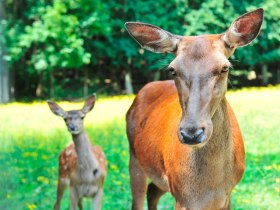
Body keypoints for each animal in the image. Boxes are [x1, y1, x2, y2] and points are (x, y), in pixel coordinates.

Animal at [126, 8, 264, 210]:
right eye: (172, 69)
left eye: (225, 67)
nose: (191, 133)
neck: (212, 185)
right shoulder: (182, 197)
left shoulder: (228, 195)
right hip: (135, 158)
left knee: (152, 191)